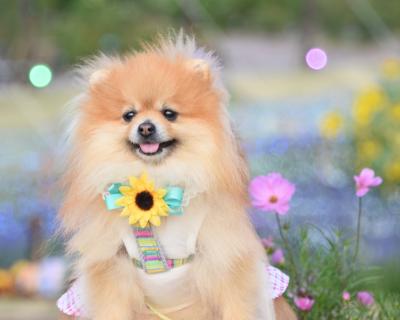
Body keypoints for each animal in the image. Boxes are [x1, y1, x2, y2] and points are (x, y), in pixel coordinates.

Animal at [59, 33, 296, 320]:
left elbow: (238, 306)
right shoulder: (111, 265)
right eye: (129, 115)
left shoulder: (224, 258)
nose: (145, 127)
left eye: (169, 113)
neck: (156, 182)